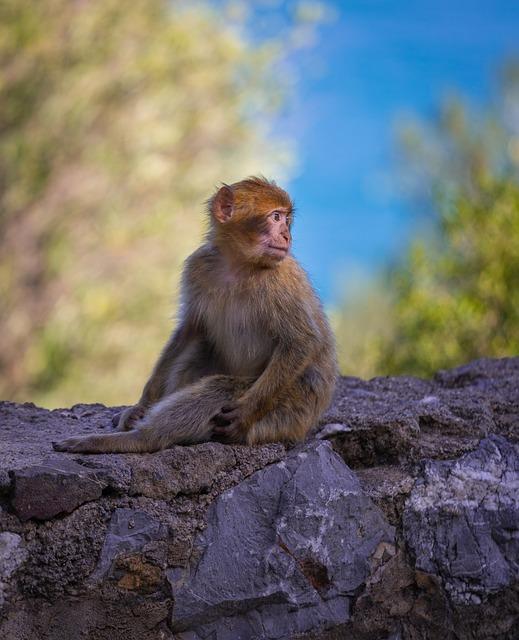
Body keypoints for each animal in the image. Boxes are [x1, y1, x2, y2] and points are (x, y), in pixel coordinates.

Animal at [52, 176, 338, 456]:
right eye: (276, 217)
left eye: (286, 220)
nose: (286, 235)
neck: (239, 265)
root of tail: (304, 428)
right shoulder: (198, 265)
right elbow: (190, 330)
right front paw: (141, 405)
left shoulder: (280, 281)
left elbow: (302, 342)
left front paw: (246, 412)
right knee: (197, 349)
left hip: (285, 414)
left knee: (220, 390)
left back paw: (137, 439)